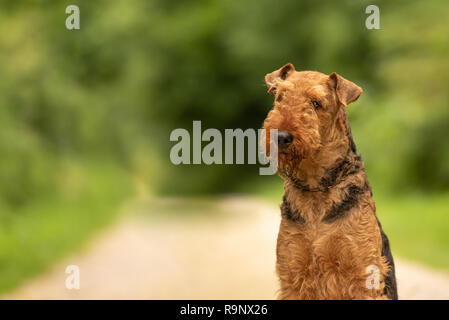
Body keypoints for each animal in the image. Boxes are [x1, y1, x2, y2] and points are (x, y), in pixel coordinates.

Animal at [262, 63, 396, 300]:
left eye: (316, 103)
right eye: (280, 97)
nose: (281, 137)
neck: (316, 187)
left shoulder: (363, 274)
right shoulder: (293, 272)